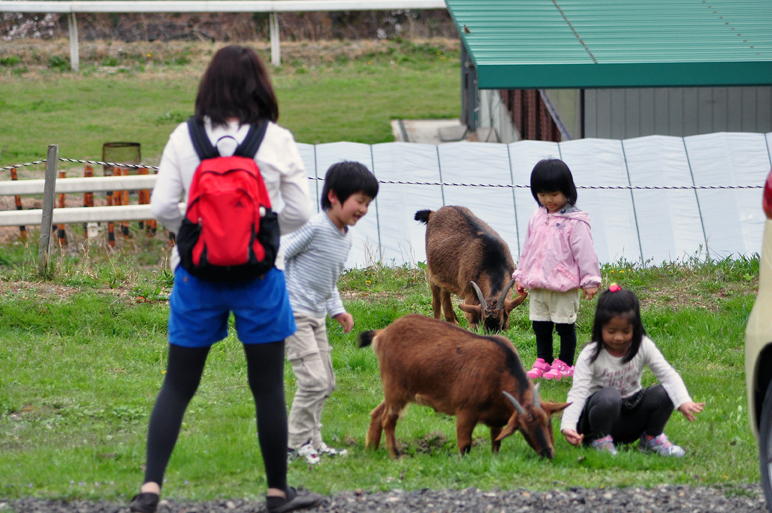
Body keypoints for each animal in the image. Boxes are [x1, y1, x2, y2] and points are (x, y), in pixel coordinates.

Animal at [358, 314, 568, 458]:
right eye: (523, 428)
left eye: (548, 421)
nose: (548, 453)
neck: (501, 370)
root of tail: (382, 333)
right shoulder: (466, 411)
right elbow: (465, 444)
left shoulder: (497, 419)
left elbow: (496, 442)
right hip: (395, 388)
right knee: (388, 419)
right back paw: (394, 455)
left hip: (398, 392)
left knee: (377, 413)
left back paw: (371, 451)